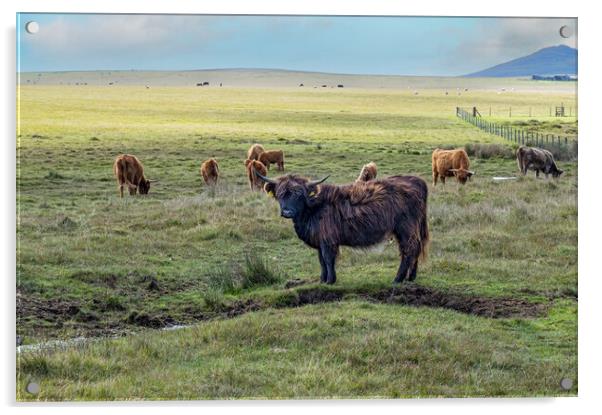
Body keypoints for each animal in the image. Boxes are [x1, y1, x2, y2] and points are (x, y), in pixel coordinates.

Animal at [255, 170, 428, 286]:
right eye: (280, 194)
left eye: (299, 195)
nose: (287, 212)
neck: (313, 208)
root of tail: (416, 180)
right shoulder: (320, 240)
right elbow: (321, 261)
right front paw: (322, 280)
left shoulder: (328, 240)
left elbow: (328, 259)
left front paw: (330, 280)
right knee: (415, 249)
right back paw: (411, 277)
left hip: (406, 228)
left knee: (408, 250)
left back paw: (398, 279)